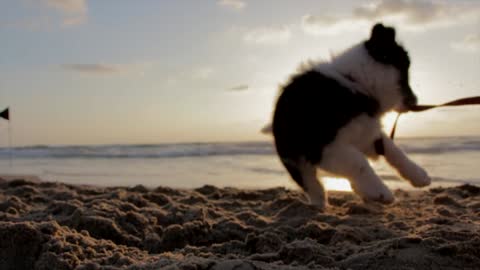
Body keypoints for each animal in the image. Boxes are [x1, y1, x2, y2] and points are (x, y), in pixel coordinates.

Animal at [272, 23, 434, 209]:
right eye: (404, 76)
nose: (415, 102)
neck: (356, 83)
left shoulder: (368, 135)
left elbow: (394, 150)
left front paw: (419, 175)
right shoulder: (325, 147)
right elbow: (359, 162)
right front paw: (382, 192)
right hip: (294, 158)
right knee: (313, 184)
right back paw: (321, 204)